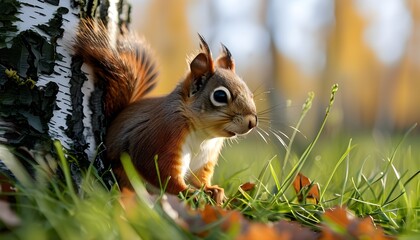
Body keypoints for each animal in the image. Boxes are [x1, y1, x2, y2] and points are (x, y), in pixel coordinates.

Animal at [72, 18, 256, 203]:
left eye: (250, 93)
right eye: (220, 95)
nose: (252, 122)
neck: (202, 135)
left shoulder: (205, 159)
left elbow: (199, 179)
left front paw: (213, 190)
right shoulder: (162, 137)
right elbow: (160, 173)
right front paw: (189, 193)